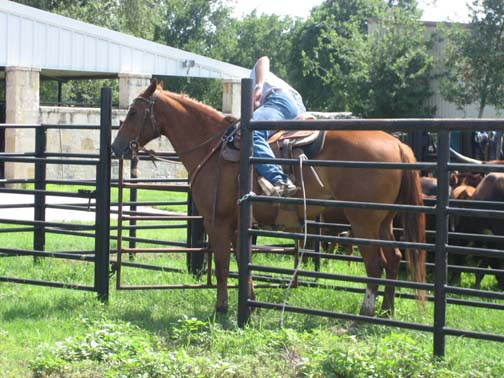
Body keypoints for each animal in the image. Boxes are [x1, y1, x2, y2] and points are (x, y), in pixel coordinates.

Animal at [111, 79, 426, 316]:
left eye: (134, 113)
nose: (117, 147)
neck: (212, 147)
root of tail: (397, 144)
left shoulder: (218, 221)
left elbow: (223, 264)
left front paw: (222, 308)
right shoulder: (239, 224)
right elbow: (242, 262)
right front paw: (248, 303)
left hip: (363, 221)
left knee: (375, 264)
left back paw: (366, 311)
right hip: (384, 220)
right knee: (394, 259)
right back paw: (387, 311)